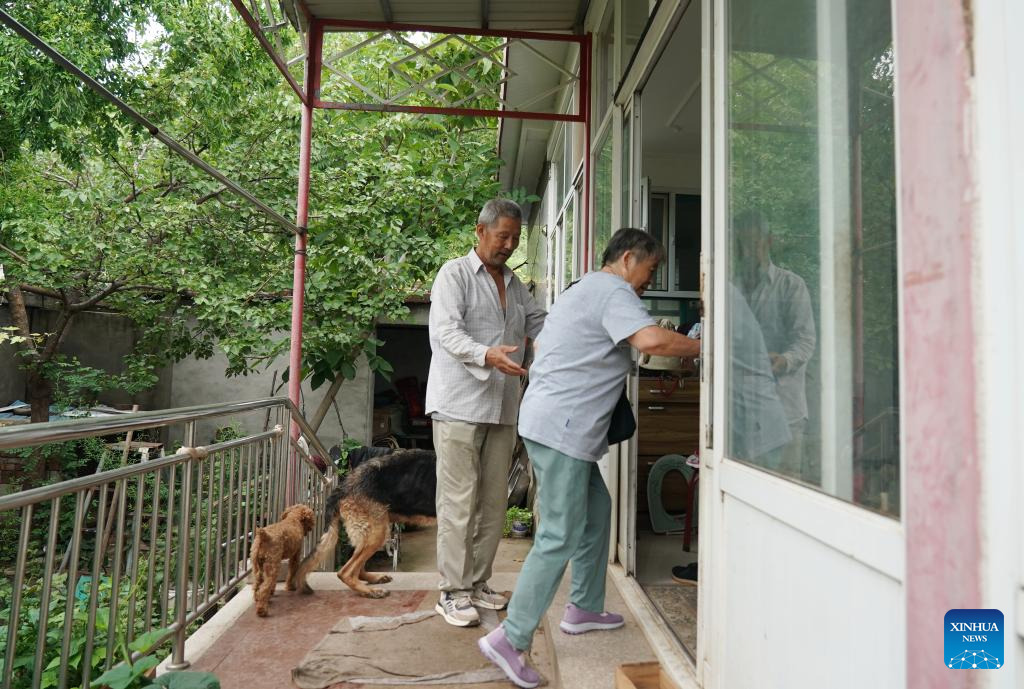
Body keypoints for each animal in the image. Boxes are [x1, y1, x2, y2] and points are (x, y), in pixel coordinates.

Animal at [299, 446, 438, 597]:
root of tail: (343, 486)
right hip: (377, 534)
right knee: (345, 572)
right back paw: (370, 591)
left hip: (372, 533)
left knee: (357, 569)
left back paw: (374, 579)